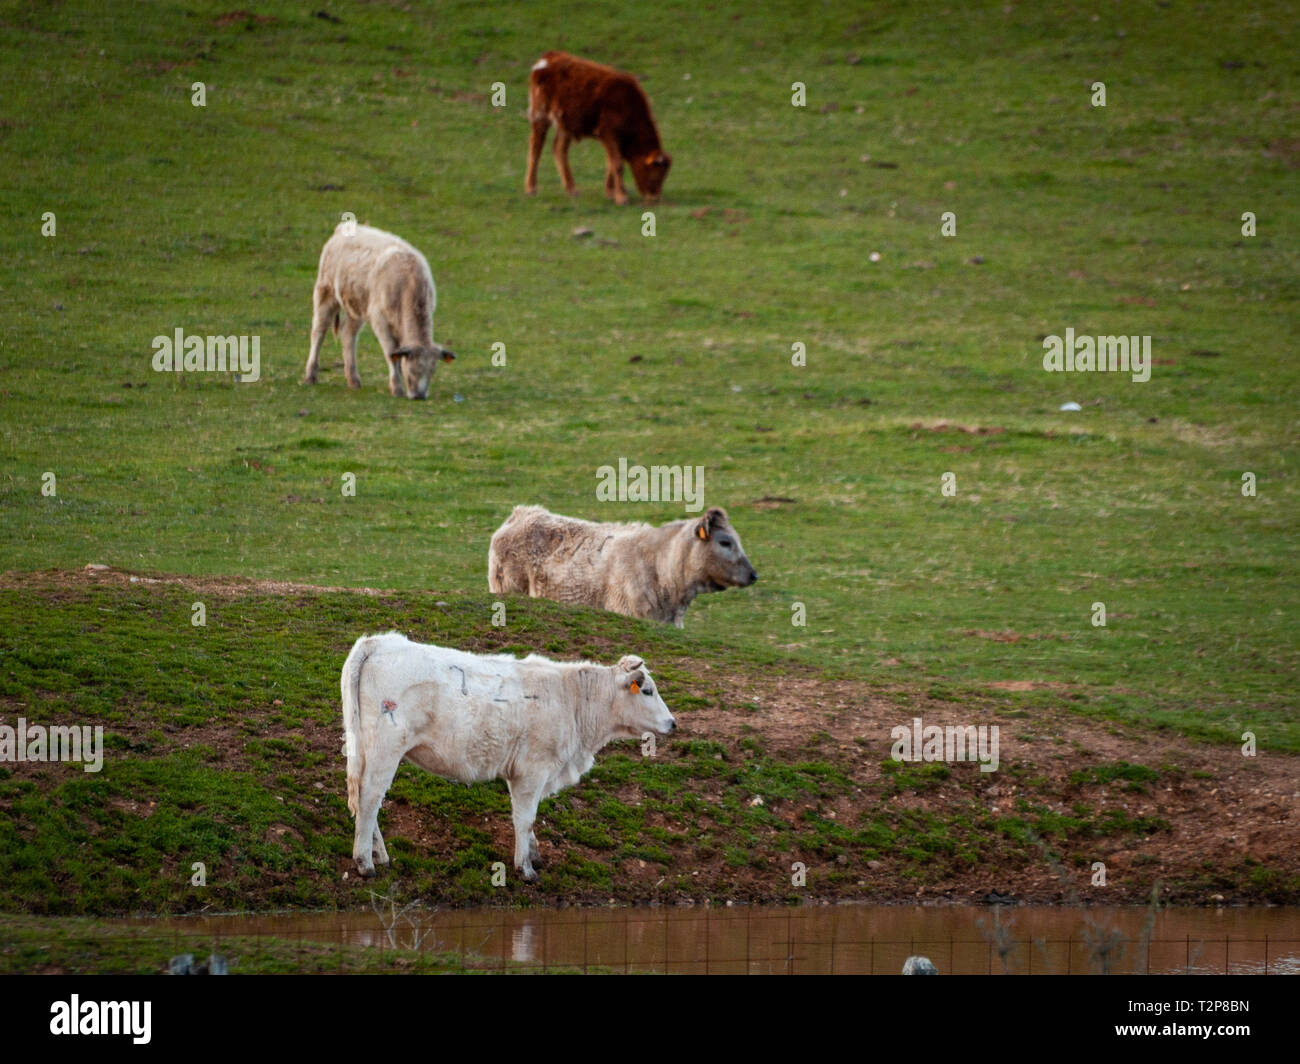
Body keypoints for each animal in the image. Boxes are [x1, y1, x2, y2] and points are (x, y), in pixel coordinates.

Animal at [302, 219, 454, 398]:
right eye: (412, 368)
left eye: (432, 370)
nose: (419, 396)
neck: (409, 283)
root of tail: (344, 227)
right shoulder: (379, 320)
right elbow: (391, 352)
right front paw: (397, 387)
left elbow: (397, 353)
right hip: (325, 292)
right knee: (318, 332)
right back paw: (310, 375)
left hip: (356, 306)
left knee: (348, 335)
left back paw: (353, 379)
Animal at [340, 629, 676, 879]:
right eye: (647, 691)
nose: (673, 723)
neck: (572, 701)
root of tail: (380, 641)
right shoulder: (532, 770)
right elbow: (525, 818)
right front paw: (525, 868)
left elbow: (530, 819)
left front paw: (533, 855)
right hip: (386, 749)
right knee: (370, 798)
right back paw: (365, 863)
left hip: (367, 750)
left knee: (368, 800)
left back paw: (378, 854)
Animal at [525, 50, 676, 204]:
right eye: (656, 174)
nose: (655, 198)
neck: (626, 104)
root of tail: (550, 56)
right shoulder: (607, 133)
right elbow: (617, 164)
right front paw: (621, 196)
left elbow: (611, 163)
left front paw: (610, 192)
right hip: (540, 115)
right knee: (536, 148)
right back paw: (531, 188)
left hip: (565, 124)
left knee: (559, 150)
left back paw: (572, 189)